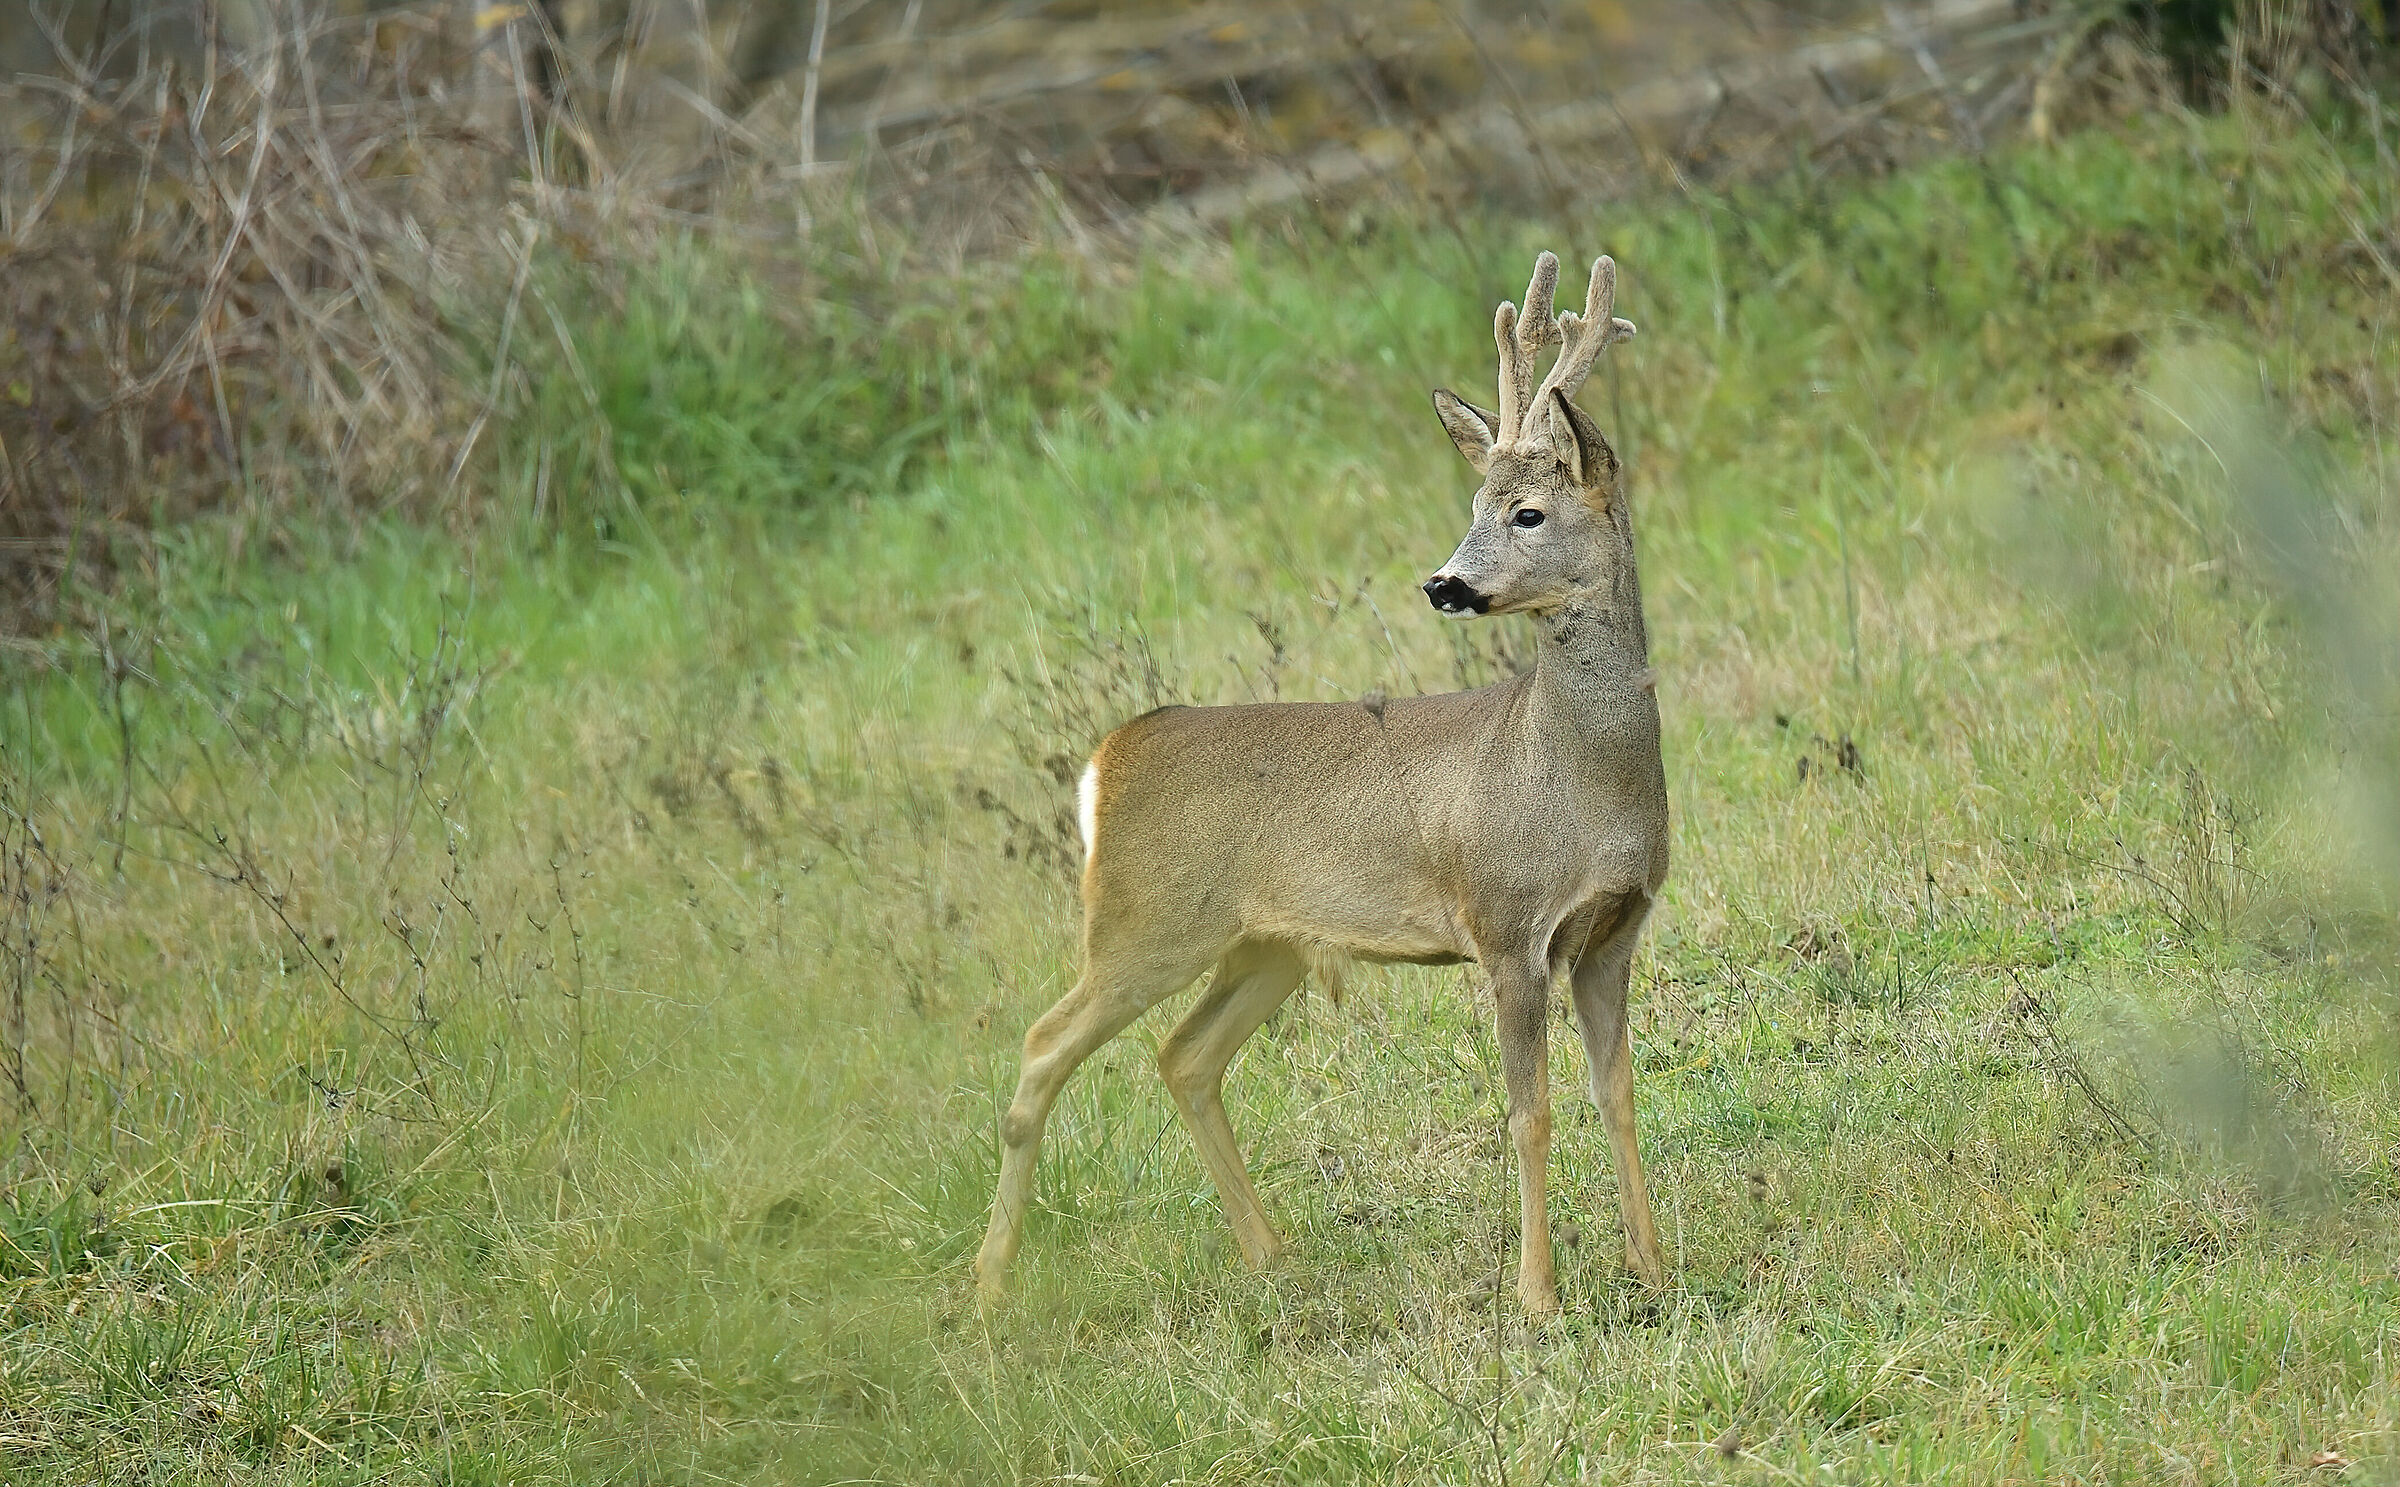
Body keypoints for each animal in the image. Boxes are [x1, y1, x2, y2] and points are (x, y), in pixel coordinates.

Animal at [974, 250, 1669, 1317]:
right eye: (1473, 508)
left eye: (1528, 512)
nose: (1442, 583)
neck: (1576, 777)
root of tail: (1105, 761)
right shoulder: (1507, 924)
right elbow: (1531, 1113)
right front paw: (1537, 1295)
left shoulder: (1612, 929)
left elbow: (1618, 1093)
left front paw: (1656, 1267)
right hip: (1143, 919)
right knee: (1044, 1043)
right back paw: (989, 1282)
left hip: (1265, 944)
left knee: (1185, 1054)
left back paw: (1270, 1250)